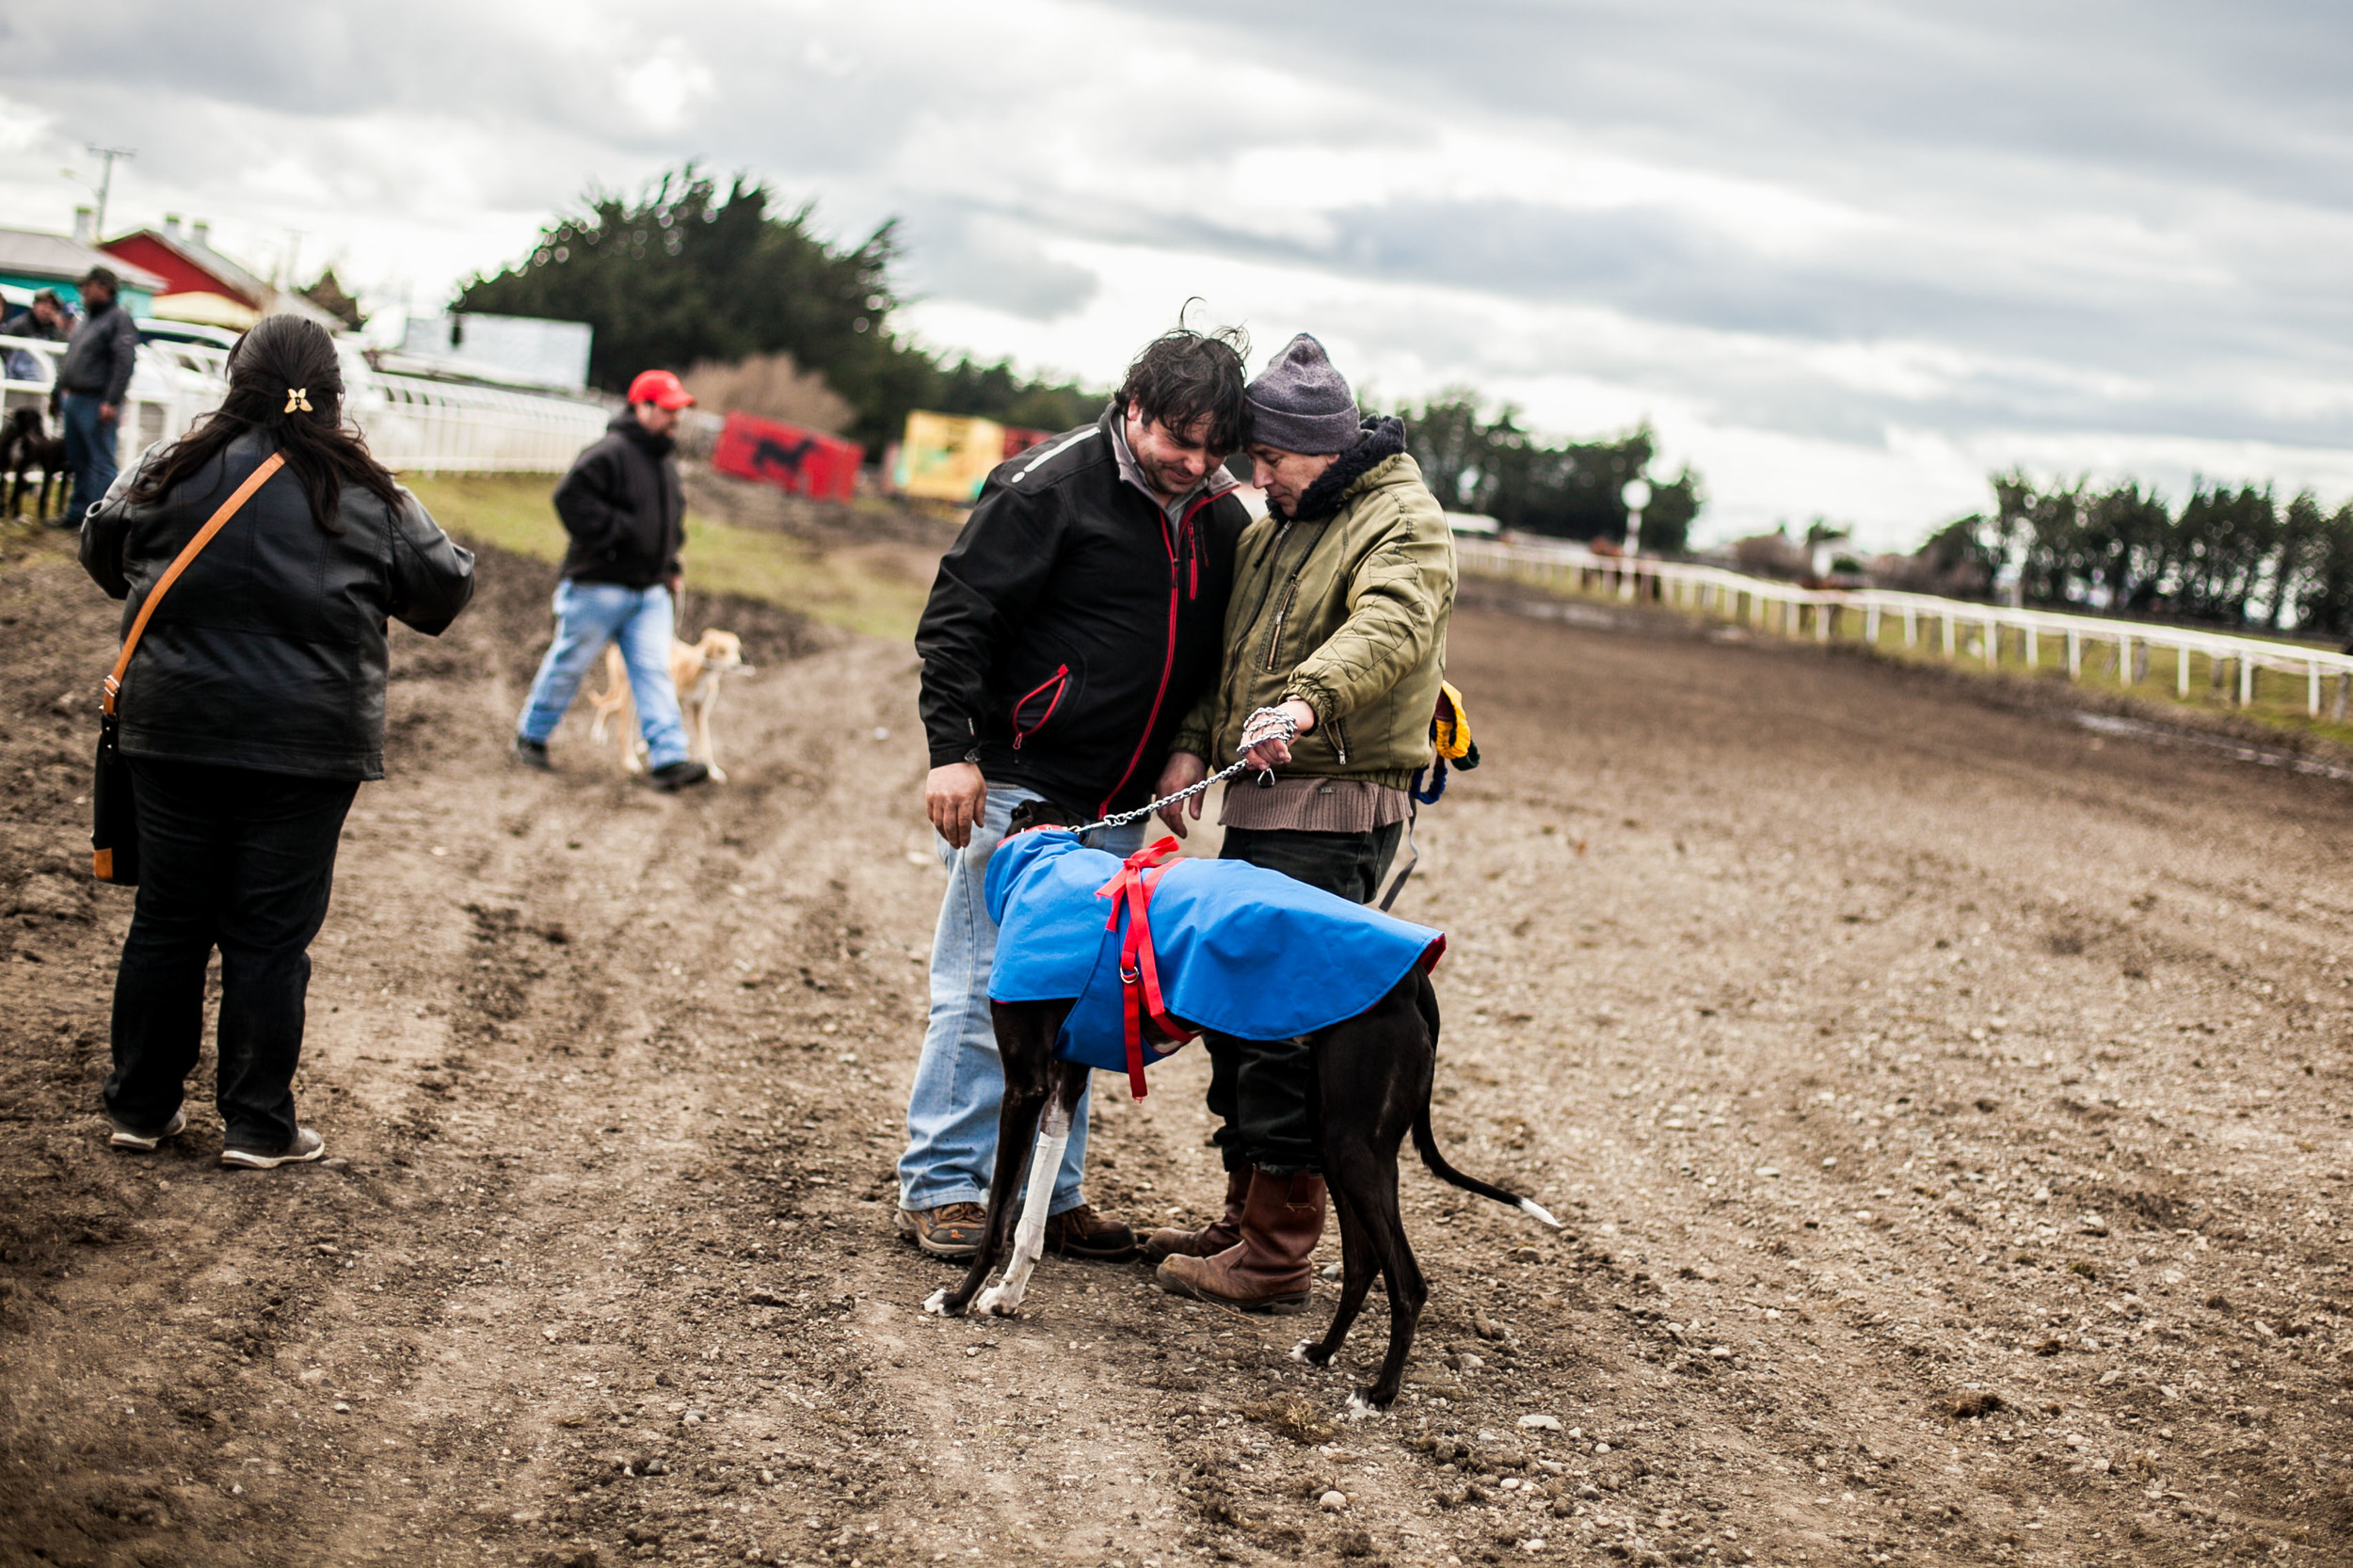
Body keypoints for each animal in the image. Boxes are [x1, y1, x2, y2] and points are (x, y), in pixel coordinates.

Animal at [584, 631, 748, 781]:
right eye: (722, 651)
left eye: (737, 650)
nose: (736, 664)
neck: (698, 671)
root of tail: (615, 647)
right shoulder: (675, 704)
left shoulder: (700, 710)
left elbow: (706, 745)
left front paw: (713, 771)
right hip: (629, 698)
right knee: (622, 730)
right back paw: (629, 760)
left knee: (608, 708)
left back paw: (600, 733)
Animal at [922, 800, 1562, 1412]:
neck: (1044, 858)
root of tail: (1416, 982)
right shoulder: (1064, 1084)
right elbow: (1030, 1217)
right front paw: (1006, 1297)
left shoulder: (1026, 1086)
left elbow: (1000, 1214)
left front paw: (959, 1299)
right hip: (1335, 1139)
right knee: (1362, 1263)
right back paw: (1322, 1352)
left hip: (1356, 1147)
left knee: (1407, 1281)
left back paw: (1378, 1395)